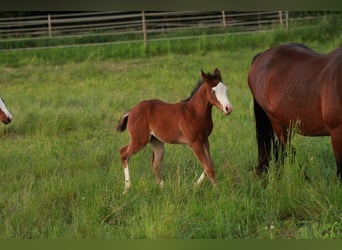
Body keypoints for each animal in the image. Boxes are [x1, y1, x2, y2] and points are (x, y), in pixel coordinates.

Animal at [248, 43, 342, 180]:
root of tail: (262, 56)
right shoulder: (337, 132)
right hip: (276, 121)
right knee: (286, 149)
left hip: (289, 123)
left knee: (280, 150)